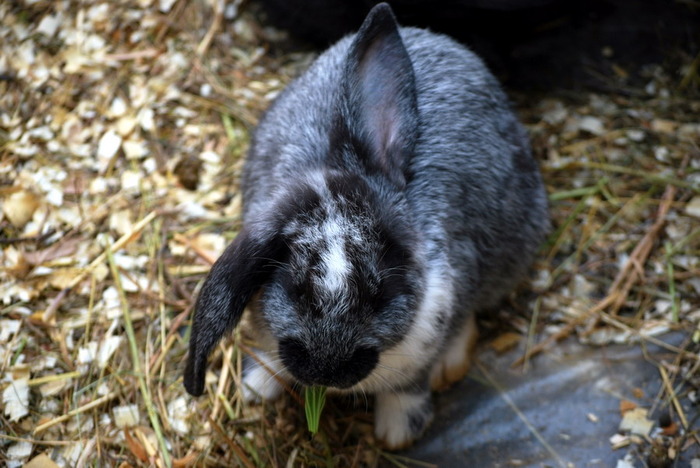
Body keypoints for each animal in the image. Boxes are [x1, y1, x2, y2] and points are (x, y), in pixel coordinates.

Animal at [183, 2, 548, 450]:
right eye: (295, 287)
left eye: (380, 293)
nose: (327, 370)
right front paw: (256, 388)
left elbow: (408, 387)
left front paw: (398, 433)